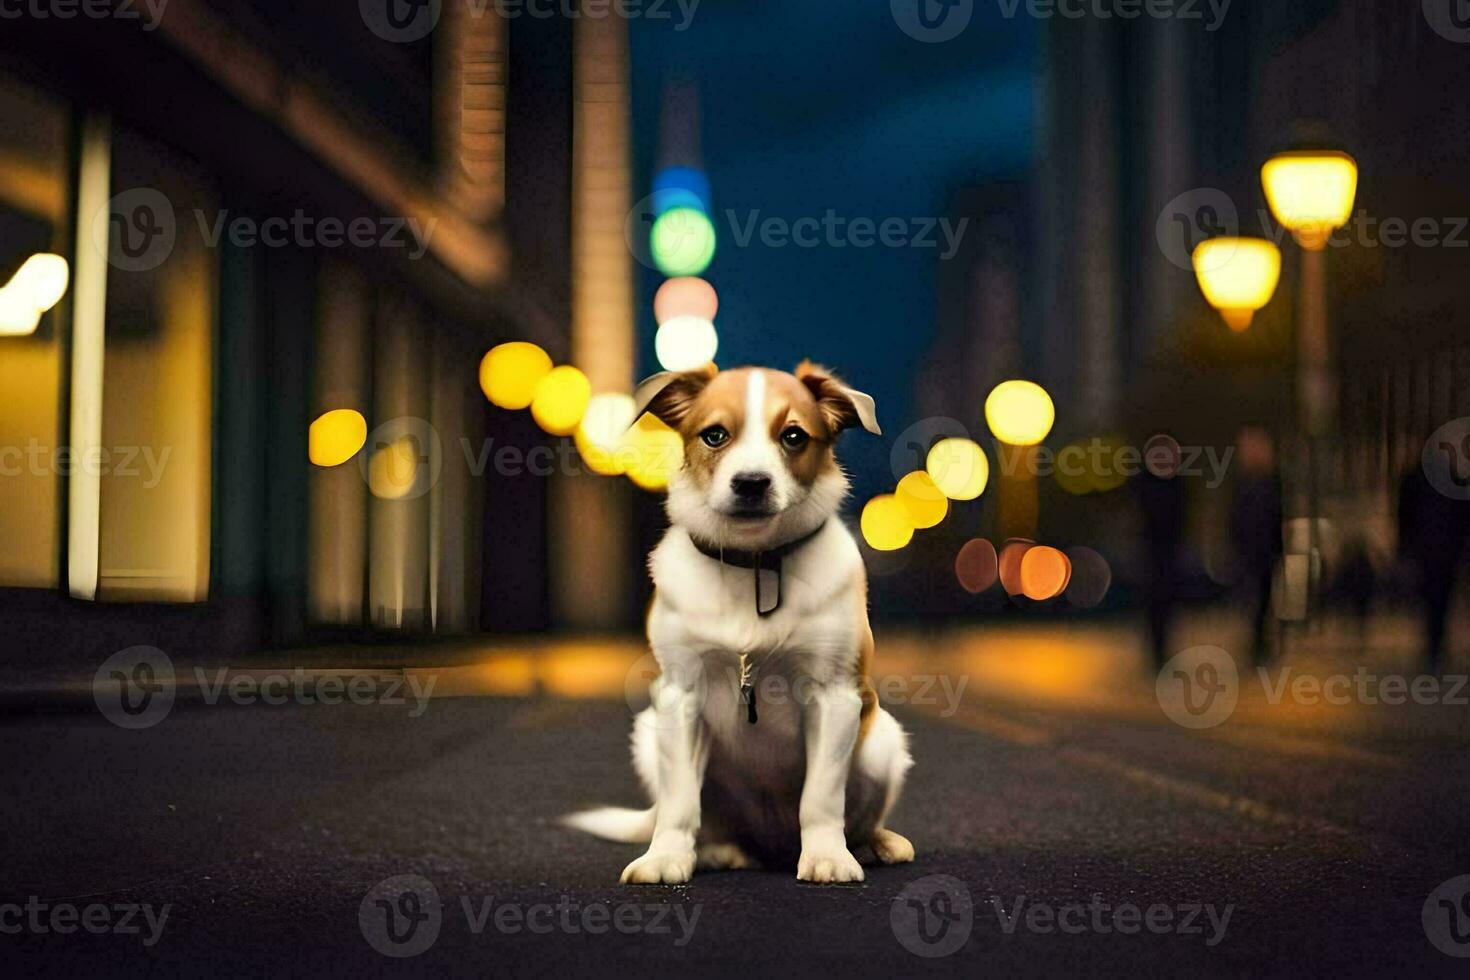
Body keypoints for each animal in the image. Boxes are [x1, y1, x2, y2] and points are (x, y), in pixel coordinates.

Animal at [567, 364, 911, 887]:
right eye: (715, 435)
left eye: (793, 436)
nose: (751, 483)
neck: (755, 564)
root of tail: (770, 848)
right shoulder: (680, 695)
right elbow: (679, 802)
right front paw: (665, 858)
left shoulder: (835, 697)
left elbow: (822, 798)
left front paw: (828, 856)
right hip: (648, 734)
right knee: (693, 815)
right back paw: (717, 851)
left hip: (882, 742)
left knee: (859, 816)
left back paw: (875, 844)